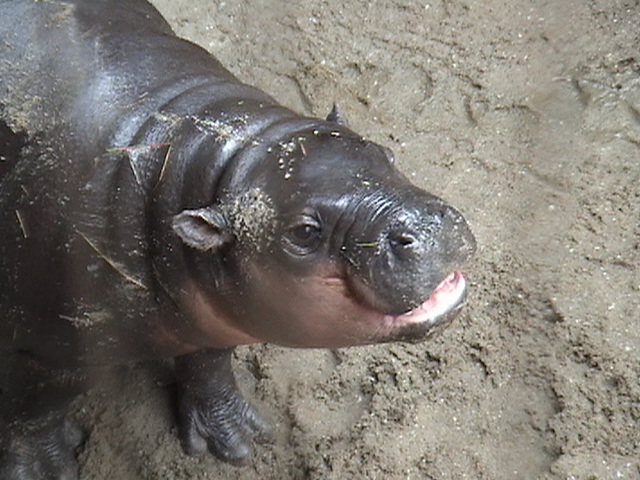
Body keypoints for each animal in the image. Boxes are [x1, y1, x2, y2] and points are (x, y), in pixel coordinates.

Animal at [0, 0, 476, 478]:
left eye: (383, 152)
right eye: (304, 232)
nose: (423, 223)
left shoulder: (216, 311)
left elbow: (211, 357)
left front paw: (234, 438)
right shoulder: (46, 353)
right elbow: (35, 409)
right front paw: (43, 468)